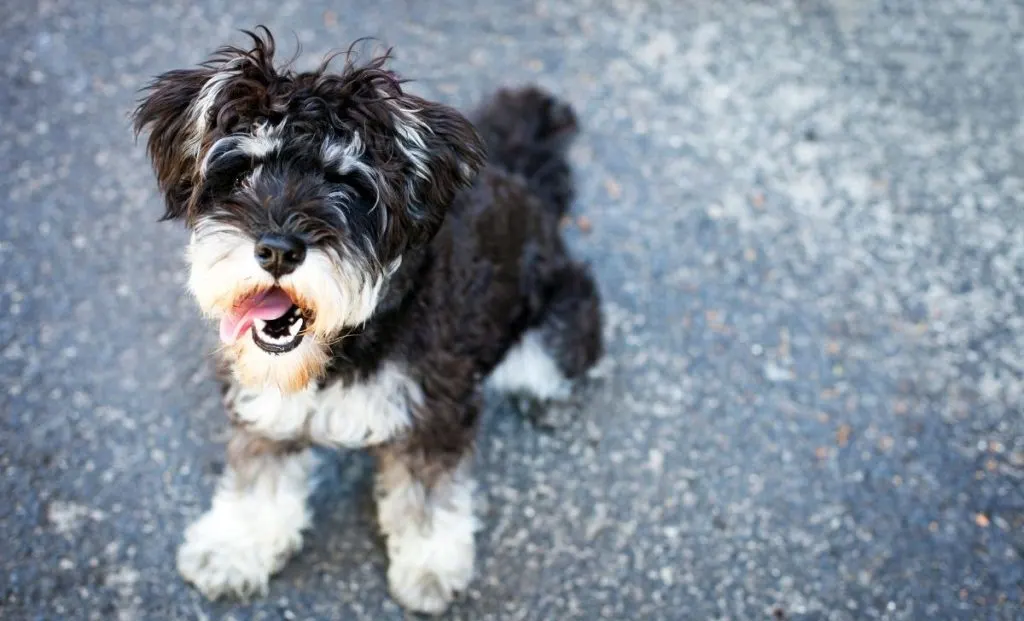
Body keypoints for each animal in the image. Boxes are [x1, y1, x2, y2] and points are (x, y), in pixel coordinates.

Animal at [133, 26, 602, 614]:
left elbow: (428, 497)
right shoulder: (266, 403)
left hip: (558, 321)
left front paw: (429, 567)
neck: (343, 346)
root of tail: (524, 183)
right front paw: (234, 547)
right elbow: (258, 475)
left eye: (349, 185)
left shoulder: (433, 412)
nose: (278, 251)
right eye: (240, 172)